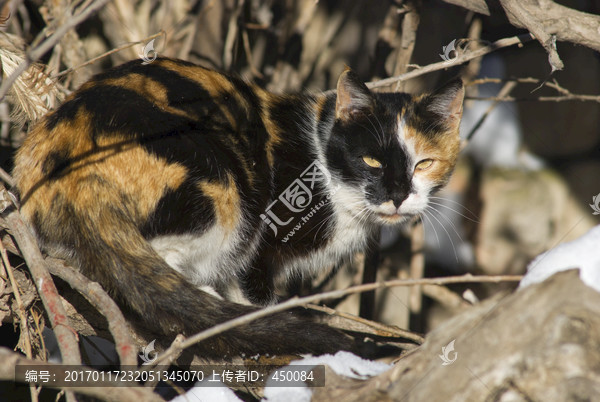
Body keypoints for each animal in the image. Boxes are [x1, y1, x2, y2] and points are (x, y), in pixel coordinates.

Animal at [12, 57, 464, 358]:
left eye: (424, 163)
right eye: (371, 161)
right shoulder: (263, 249)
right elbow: (254, 294)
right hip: (223, 184)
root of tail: (68, 150)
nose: (398, 194)